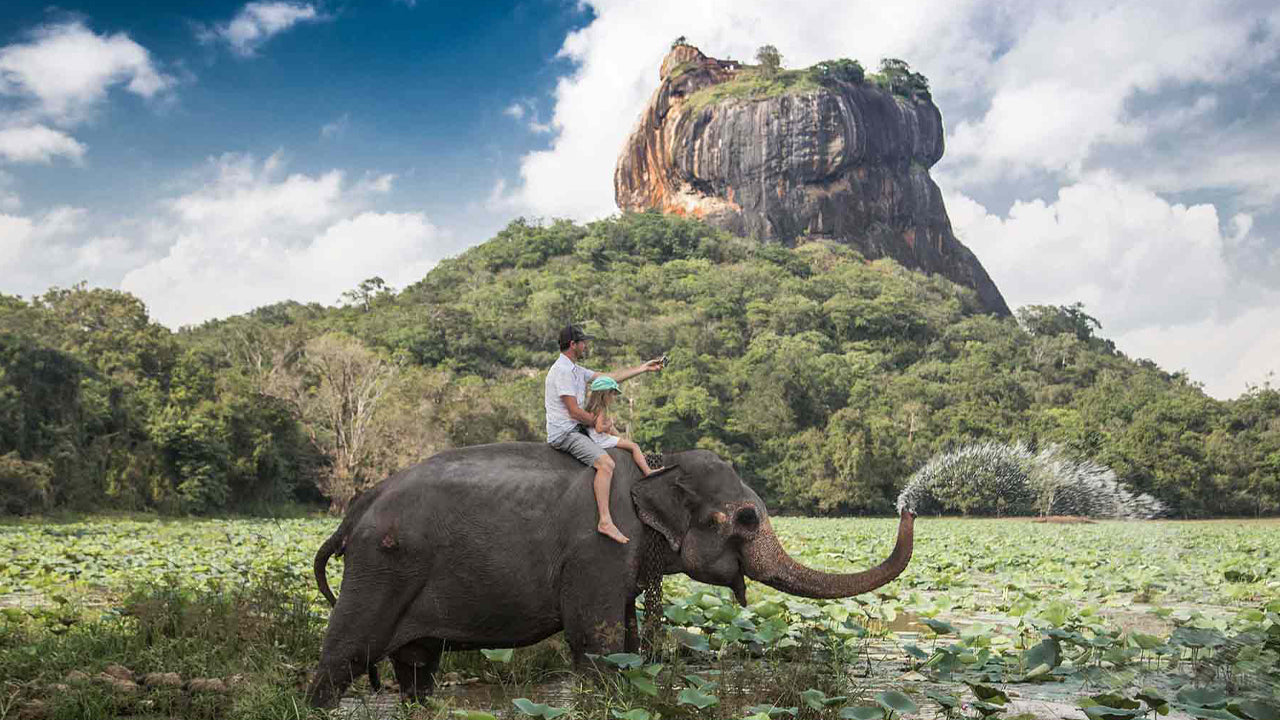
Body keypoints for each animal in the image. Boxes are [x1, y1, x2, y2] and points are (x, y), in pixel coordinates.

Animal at [304, 440, 916, 702]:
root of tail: (356, 509)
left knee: (416, 670)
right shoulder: (598, 548)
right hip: (380, 569)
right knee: (342, 658)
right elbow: (596, 644)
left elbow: (625, 640)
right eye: (745, 518)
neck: (657, 467)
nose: (909, 505)